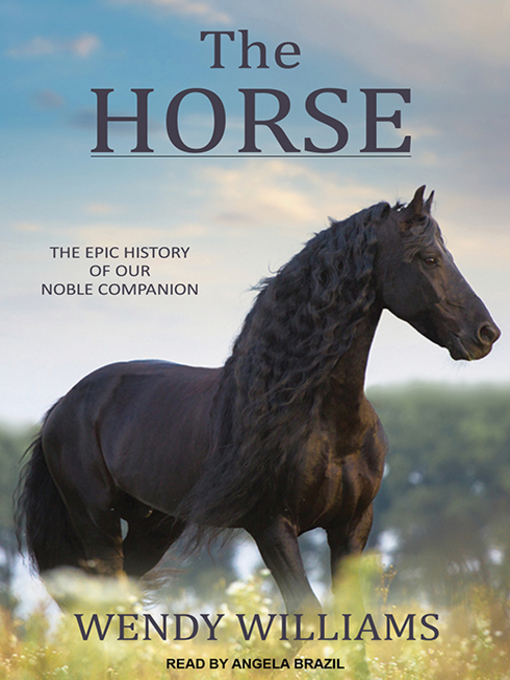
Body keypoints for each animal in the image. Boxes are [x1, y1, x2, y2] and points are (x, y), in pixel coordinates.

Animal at [16, 186, 500, 613]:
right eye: (429, 258)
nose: (486, 334)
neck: (328, 421)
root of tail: (65, 404)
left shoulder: (352, 526)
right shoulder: (272, 526)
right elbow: (307, 613)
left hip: (152, 526)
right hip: (97, 521)